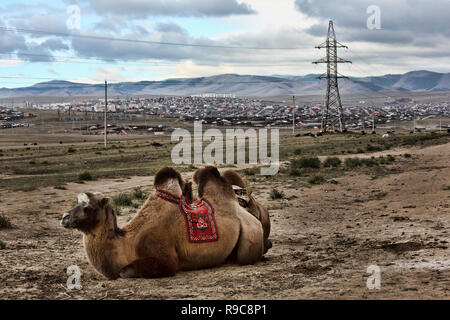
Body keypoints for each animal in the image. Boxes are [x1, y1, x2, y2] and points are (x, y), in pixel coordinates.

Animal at [59, 166, 264, 278]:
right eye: (77, 203)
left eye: (88, 208)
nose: (64, 218)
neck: (127, 243)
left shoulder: (165, 257)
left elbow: (125, 271)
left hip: (251, 234)